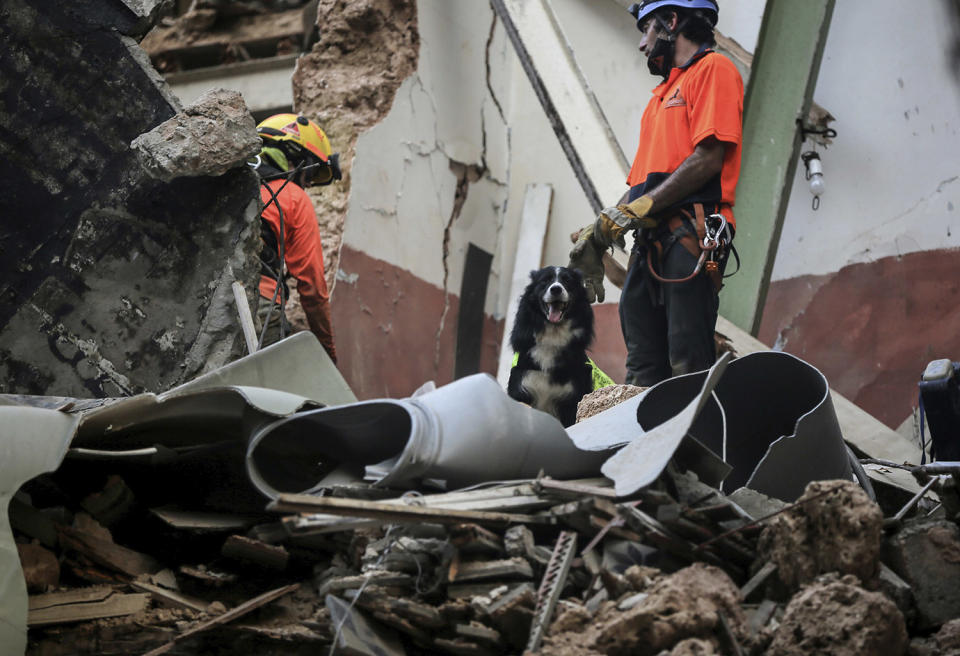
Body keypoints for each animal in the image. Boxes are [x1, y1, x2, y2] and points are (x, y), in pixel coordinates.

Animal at [510, 264, 592, 428]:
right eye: (545, 281)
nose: (556, 289)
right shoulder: (521, 384)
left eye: (567, 281)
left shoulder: (573, 397)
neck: (552, 337)